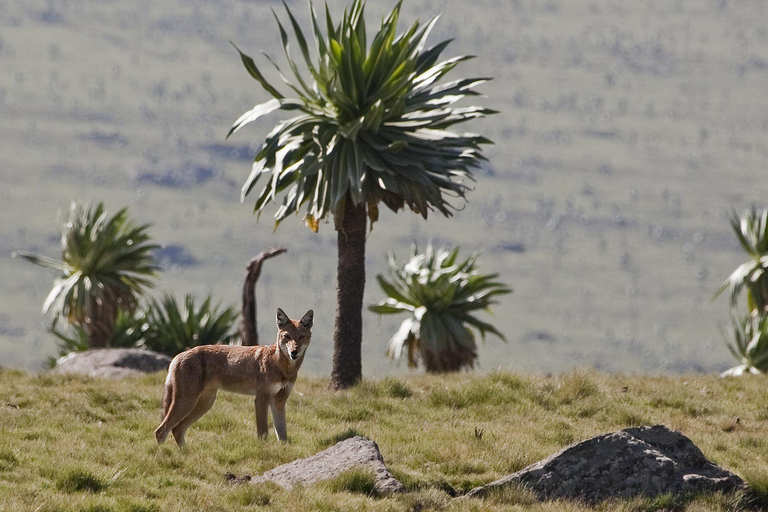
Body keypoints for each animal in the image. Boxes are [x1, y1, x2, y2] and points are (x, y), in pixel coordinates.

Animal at [154, 308, 314, 448]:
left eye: (301, 337)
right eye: (287, 336)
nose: (294, 352)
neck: (283, 368)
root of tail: (178, 356)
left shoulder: (279, 401)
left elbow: (282, 435)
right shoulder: (261, 399)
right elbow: (263, 433)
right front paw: (263, 450)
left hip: (204, 404)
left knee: (177, 430)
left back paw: (187, 455)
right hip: (187, 402)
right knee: (161, 431)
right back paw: (163, 456)